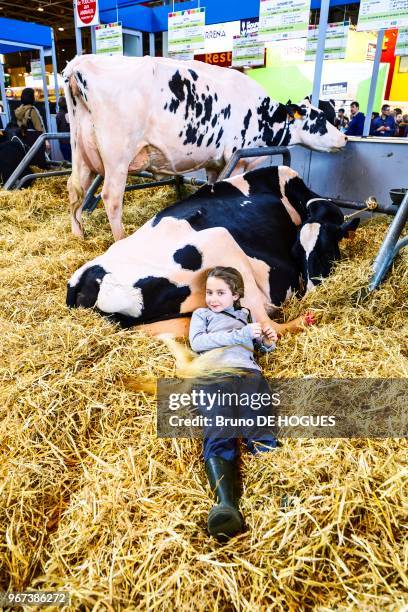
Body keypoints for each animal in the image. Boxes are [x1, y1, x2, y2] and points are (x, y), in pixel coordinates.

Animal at [63, 55, 348, 241]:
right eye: (320, 119)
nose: (345, 139)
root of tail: (79, 64)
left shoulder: (215, 161)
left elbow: (212, 188)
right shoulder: (239, 157)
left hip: (80, 151)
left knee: (75, 189)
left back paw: (78, 234)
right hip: (117, 157)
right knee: (111, 197)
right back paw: (120, 239)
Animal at [66, 165, 356, 338]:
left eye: (326, 251)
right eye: (297, 252)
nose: (312, 294)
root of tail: (85, 278)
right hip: (221, 242)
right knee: (268, 324)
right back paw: (308, 318)